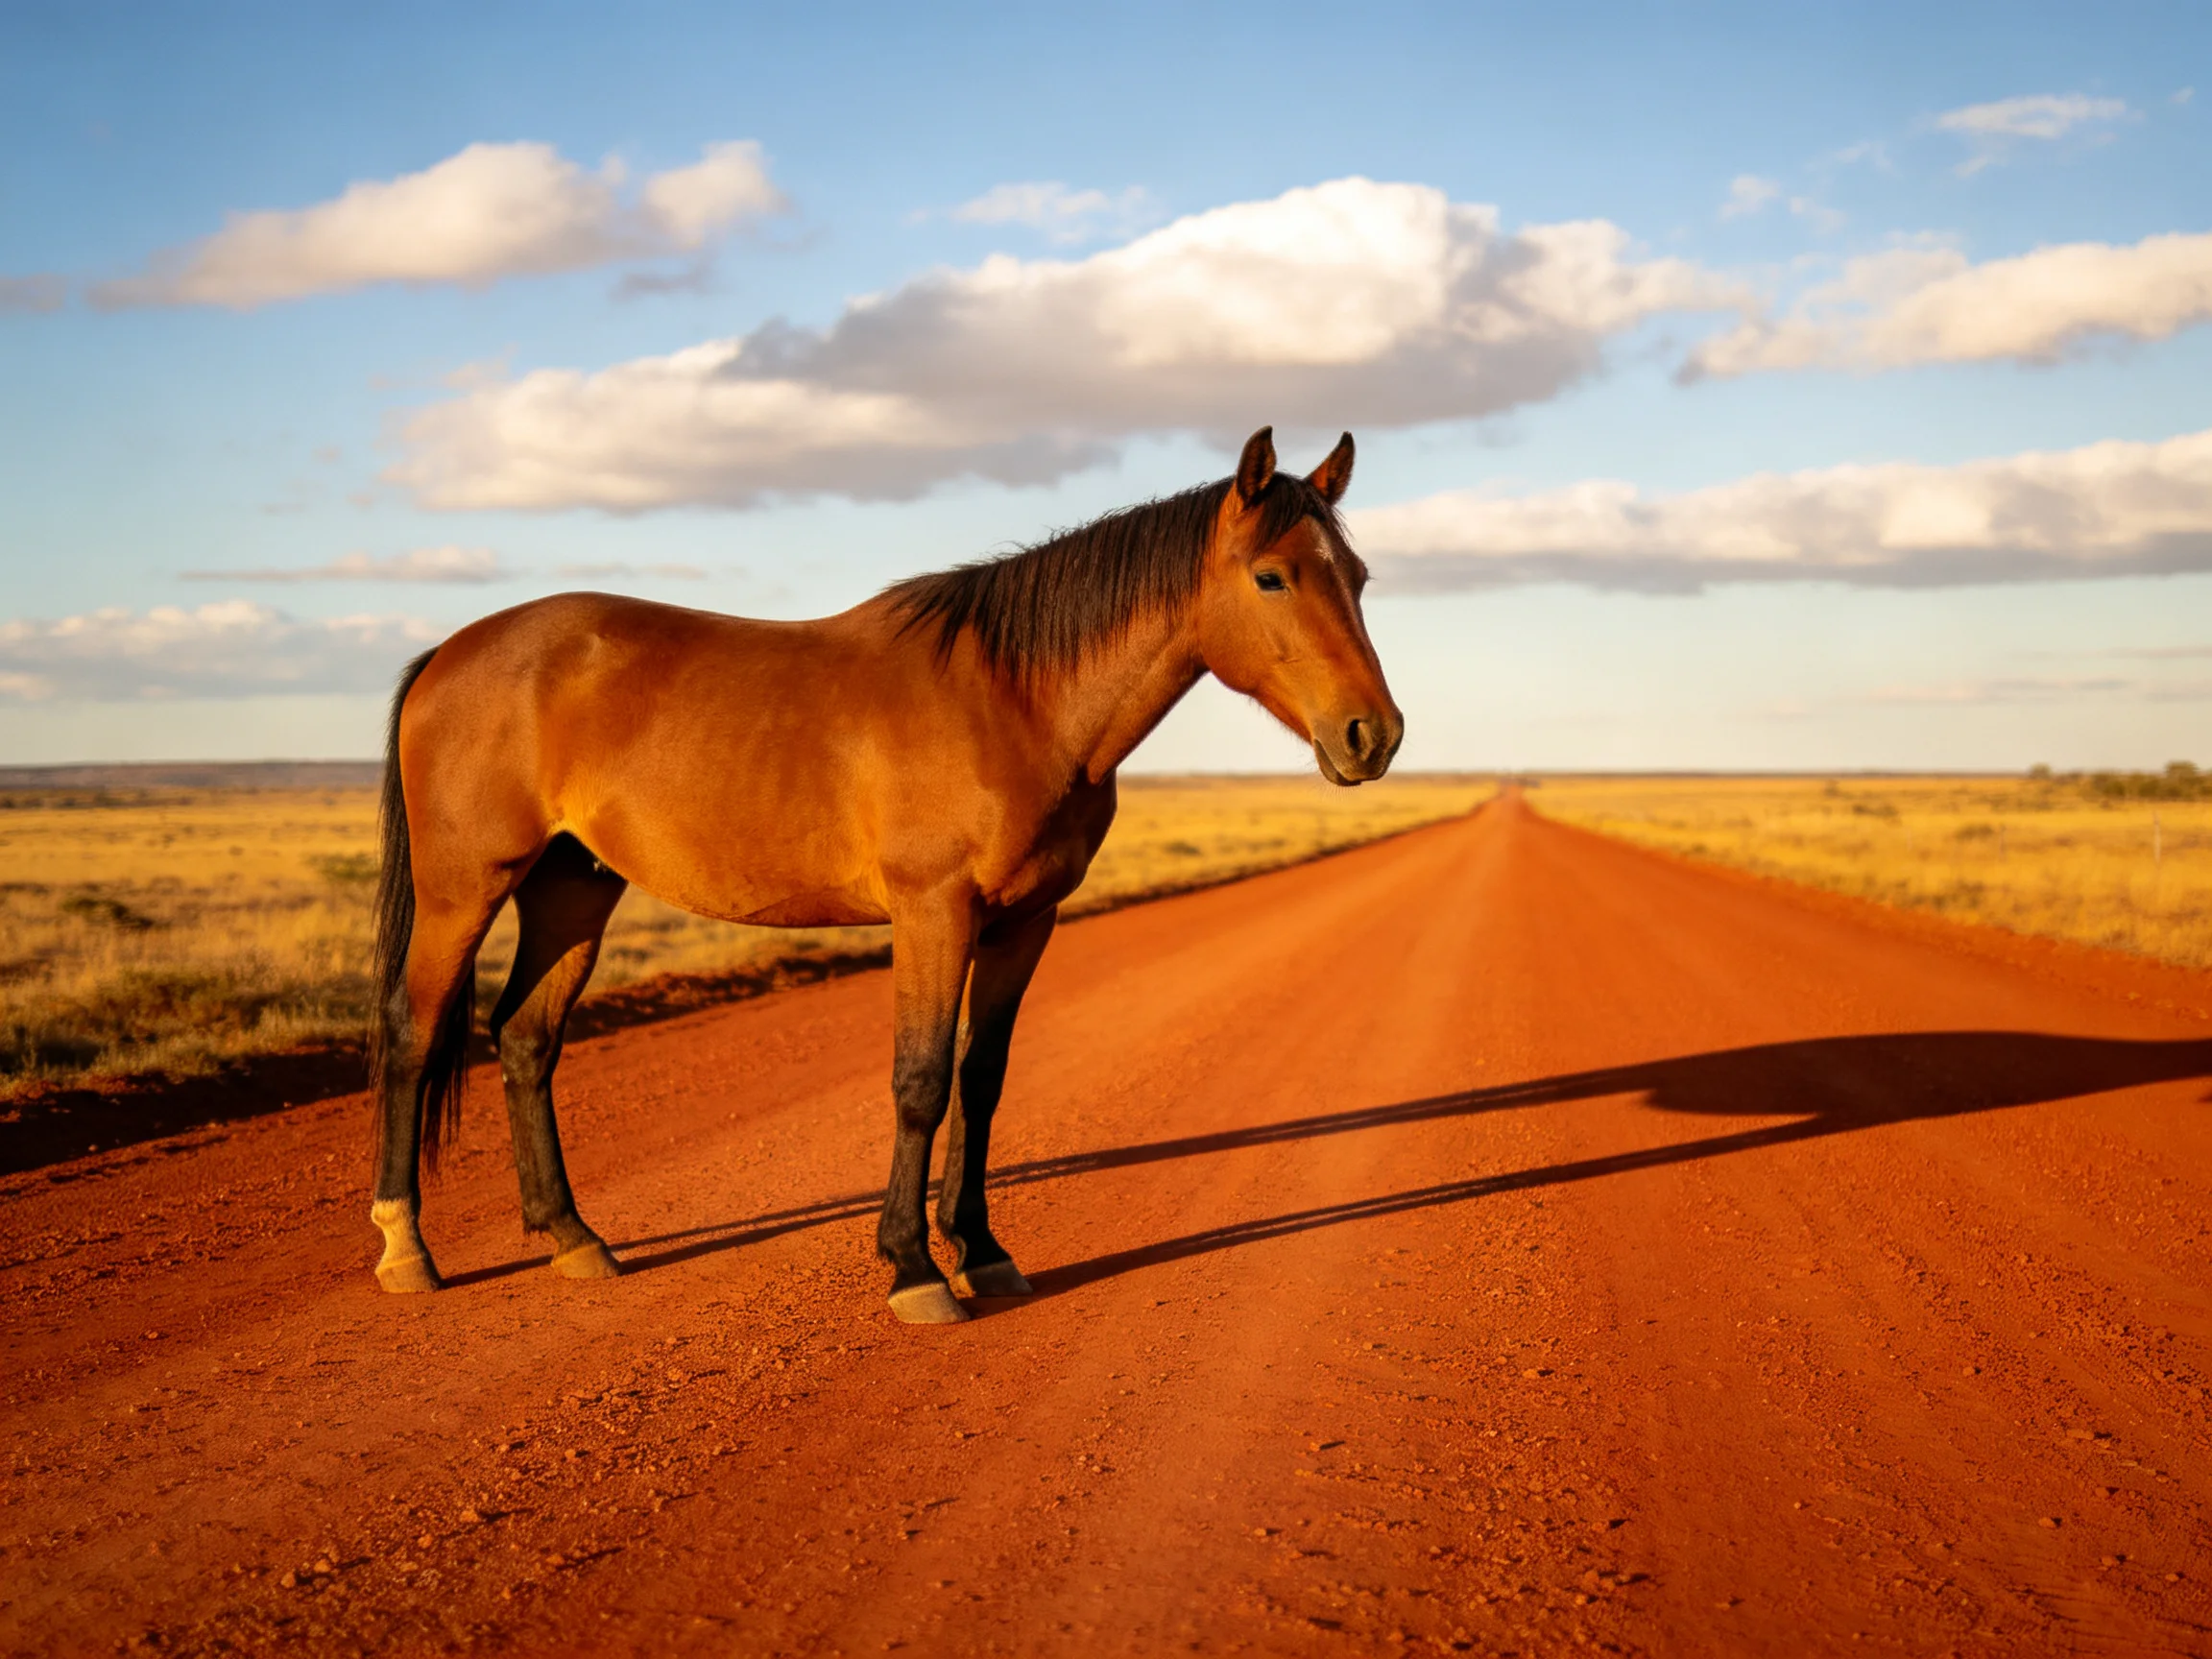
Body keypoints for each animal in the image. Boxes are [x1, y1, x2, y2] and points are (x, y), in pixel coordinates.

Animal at [366, 426, 1403, 1323]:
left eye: (1356, 577)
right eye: (1270, 576)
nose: (1374, 735)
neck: (1013, 699)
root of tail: (449, 652)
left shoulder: (1025, 920)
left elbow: (982, 1078)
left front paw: (982, 1250)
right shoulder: (933, 913)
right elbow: (921, 1081)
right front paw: (913, 1269)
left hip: (573, 885)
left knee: (525, 1039)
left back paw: (572, 1237)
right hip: (466, 889)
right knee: (415, 1034)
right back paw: (406, 1249)